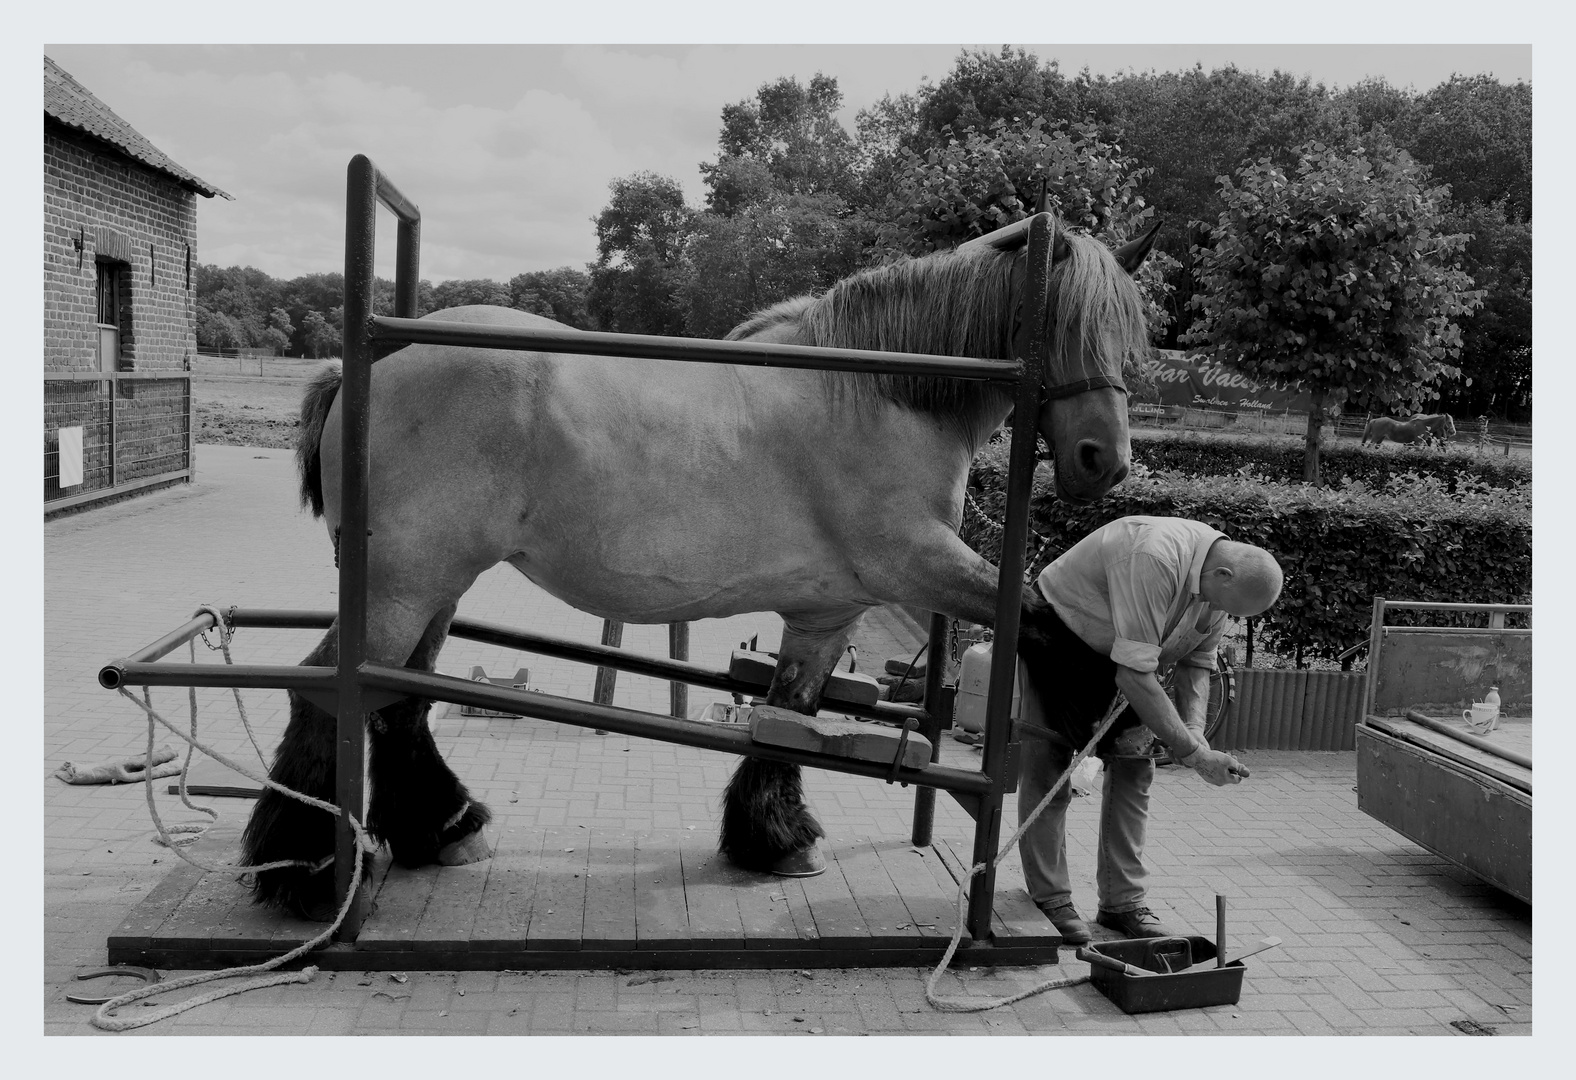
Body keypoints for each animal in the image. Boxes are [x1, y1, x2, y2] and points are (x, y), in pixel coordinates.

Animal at [242, 219, 1159, 920]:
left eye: (1128, 332)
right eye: (1059, 323)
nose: (1104, 462)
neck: (876, 391)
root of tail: (363, 365)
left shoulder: (829, 611)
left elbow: (790, 719)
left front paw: (772, 841)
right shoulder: (922, 565)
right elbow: (1043, 619)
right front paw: (1091, 718)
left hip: (433, 587)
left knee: (397, 701)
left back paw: (443, 830)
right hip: (402, 586)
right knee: (329, 692)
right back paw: (309, 876)